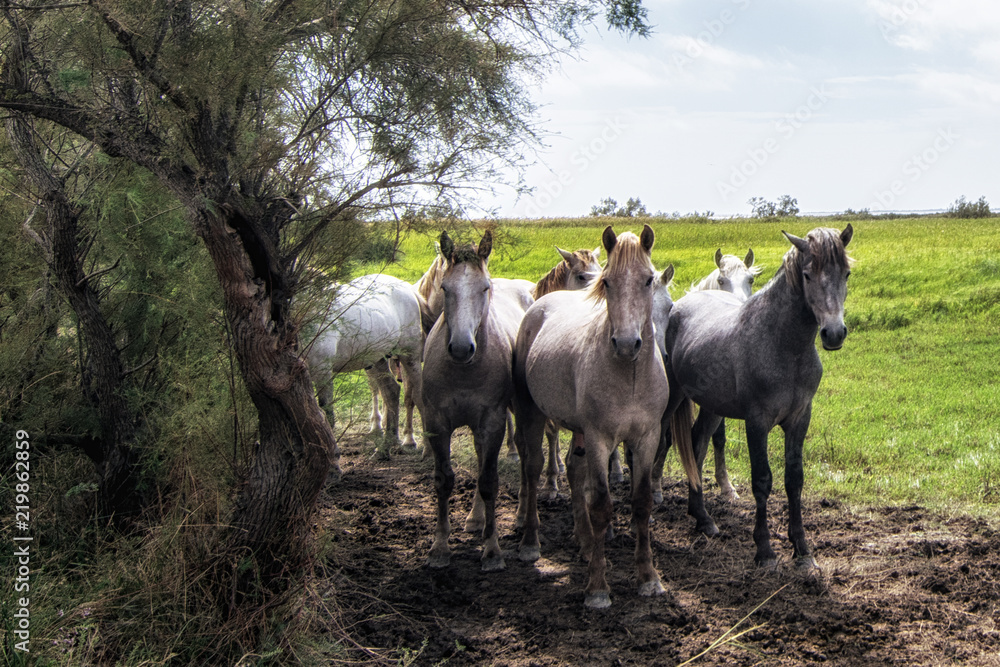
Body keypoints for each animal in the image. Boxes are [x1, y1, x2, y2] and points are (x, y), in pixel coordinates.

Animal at [306, 273, 424, 455]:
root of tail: (406, 287)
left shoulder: (322, 371)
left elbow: (326, 414)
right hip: (378, 360)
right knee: (391, 391)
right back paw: (385, 447)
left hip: (409, 356)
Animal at [421, 230, 532, 572]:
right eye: (445, 288)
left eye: (484, 288)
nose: (460, 348)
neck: (464, 370)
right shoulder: (436, 423)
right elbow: (443, 480)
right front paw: (439, 547)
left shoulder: (493, 422)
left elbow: (488, 481)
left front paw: (493, 551)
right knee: (481, 454)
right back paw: (475, 519)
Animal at [512, 225, 700, 609]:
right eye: (608, 282)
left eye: (648, 280)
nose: (627, 344)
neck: (629, 376)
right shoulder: (600, 439)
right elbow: (600, 504)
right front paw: (597, 588)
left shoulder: (646, 438)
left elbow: (641, 503)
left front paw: (648, 578)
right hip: (531, 413)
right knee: (533, 467)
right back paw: (530, 543)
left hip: (579, 430)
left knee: (572, 468)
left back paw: (585, 544)